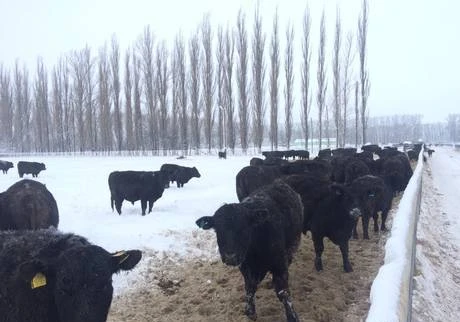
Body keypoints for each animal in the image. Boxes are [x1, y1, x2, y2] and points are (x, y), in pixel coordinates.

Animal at [196, 181, 304, 322]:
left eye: (244, 228)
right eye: (217, 230)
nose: (230, 257)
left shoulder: (279, 263)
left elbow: (283, 291)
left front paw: (292, 315)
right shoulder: (245, 266)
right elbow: (250, 287)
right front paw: (250, 310)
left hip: (291, 247)